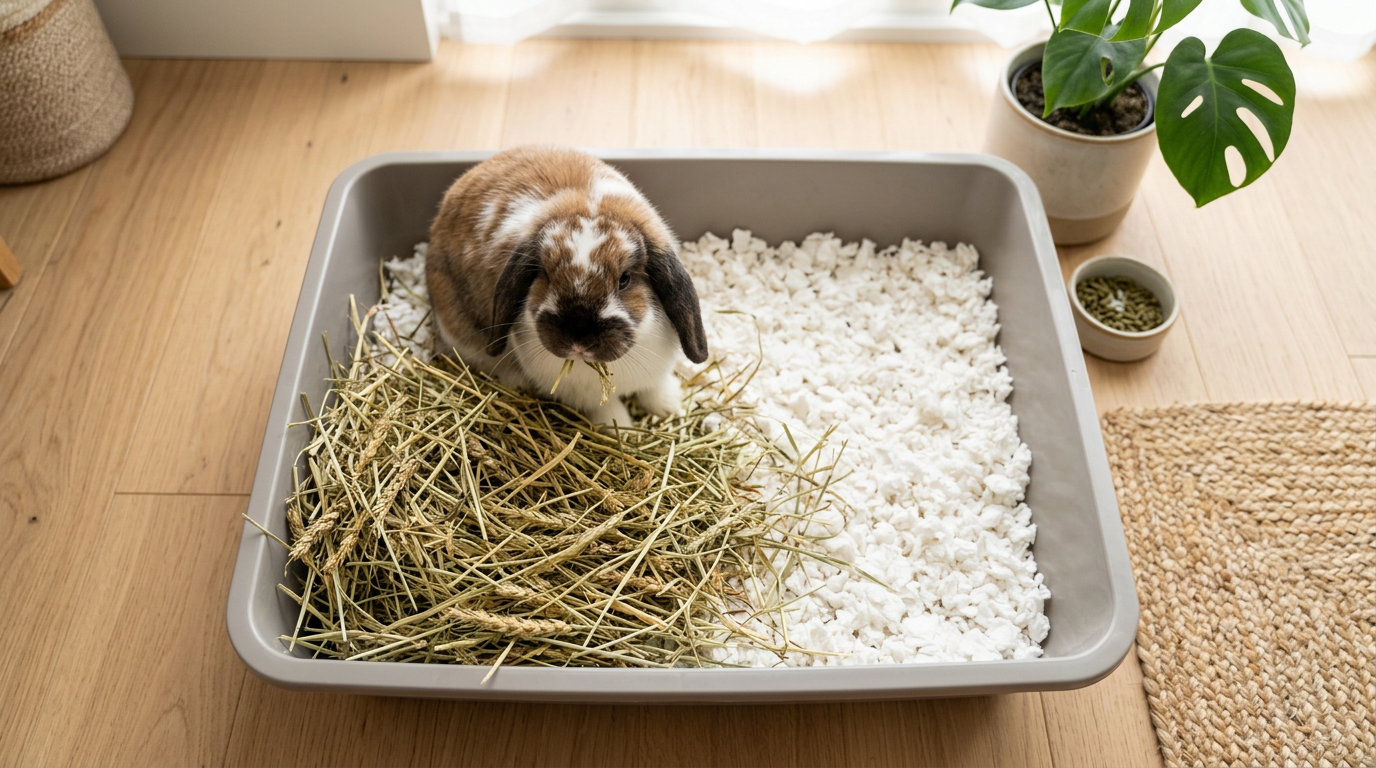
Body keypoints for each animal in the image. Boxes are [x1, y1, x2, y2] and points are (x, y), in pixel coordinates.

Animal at [426, 145, 708, 426]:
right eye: (546, 275)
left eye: (625, 279)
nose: (578, 339)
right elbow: (608, 410)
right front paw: (619, 428)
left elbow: (654, 388)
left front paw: (670, 405)